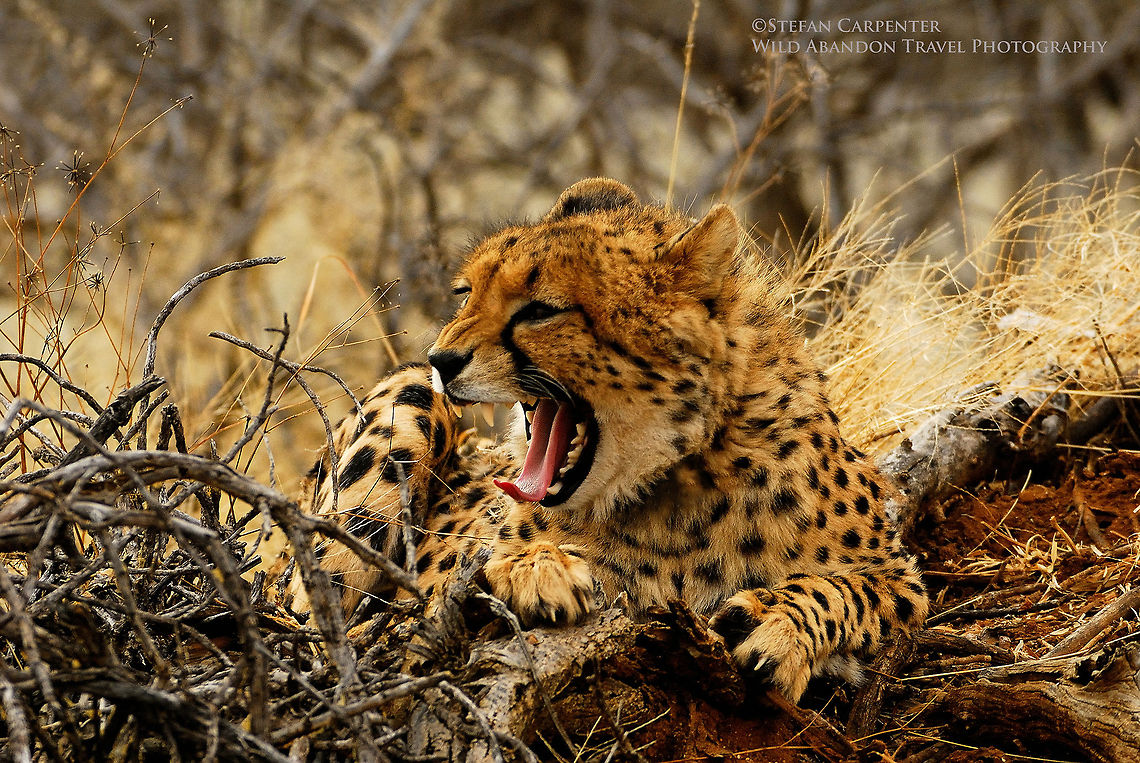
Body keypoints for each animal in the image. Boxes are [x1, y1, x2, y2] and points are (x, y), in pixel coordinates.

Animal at [280, 178, 928, 701]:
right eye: (467, 295)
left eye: (540, 310)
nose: (443, 357)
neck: (682, 475)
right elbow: (481, 566)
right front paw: (536, 568)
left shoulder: (902, 578)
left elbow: (845, 590)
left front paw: (780, 630)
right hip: (409, 395)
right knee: (307, 614)